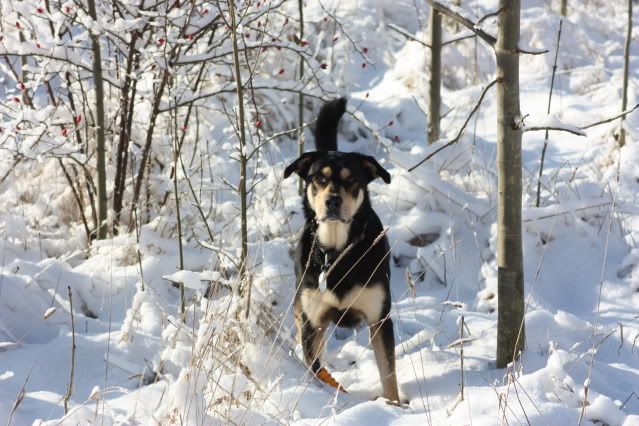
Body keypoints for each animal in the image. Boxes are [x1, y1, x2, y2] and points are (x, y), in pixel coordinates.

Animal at [284, 98, 400, 404]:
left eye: (351, 180)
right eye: (318, 179)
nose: (333, 201)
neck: (337, 252)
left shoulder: (379, 319)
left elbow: (388, 374)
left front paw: (393, 405)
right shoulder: (313, 322)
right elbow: (315, 368)